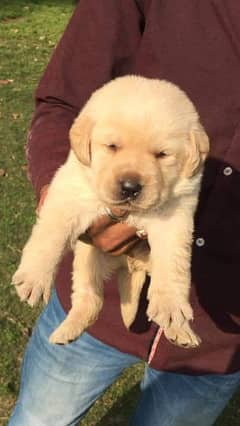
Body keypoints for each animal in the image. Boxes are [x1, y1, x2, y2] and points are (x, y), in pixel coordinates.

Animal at [12, 76, 209, 348]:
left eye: (162, 154)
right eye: (112, 147)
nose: (130, 187)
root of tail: (130, 264)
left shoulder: (175, 217)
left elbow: (173, 263)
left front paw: (171, 307)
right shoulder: (69, 193)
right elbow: (50, 234)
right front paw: (34, 279)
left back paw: (182, 332)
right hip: (87, 260)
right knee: (90, 299)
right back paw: (67, 331)